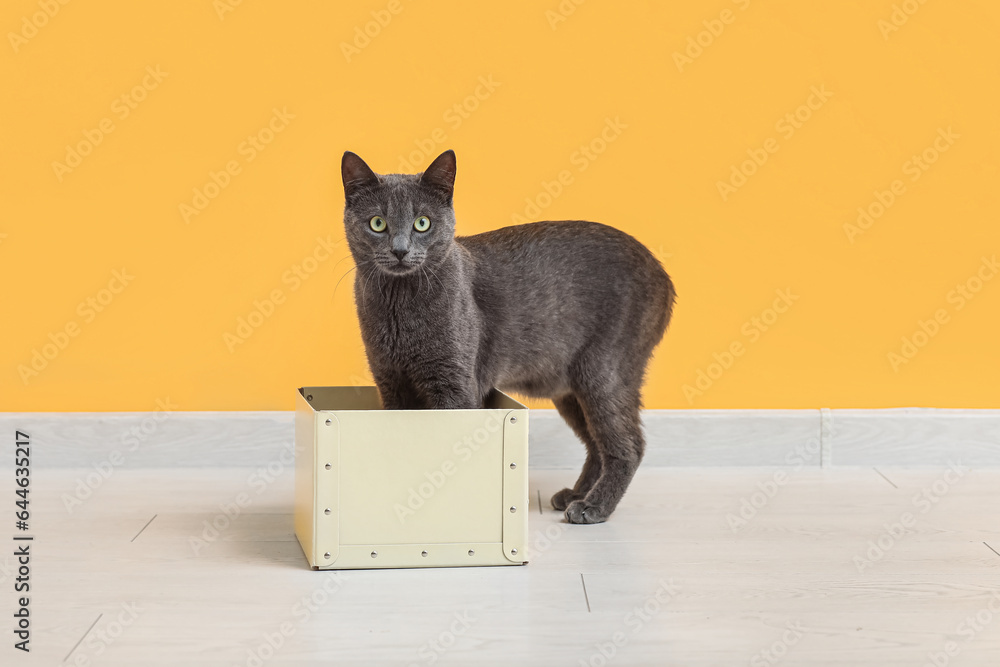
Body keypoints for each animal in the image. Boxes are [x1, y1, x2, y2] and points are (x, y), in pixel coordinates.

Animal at [340, 149, 676, 524]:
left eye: (422, 223)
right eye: (377, 223)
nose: (400, 250)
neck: (399, 309)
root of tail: (662, 272)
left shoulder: (455, 385)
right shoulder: (391, 383)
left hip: (604, 369)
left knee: (629, 444)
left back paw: (594, 507)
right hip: (570, 386)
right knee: (596, 443)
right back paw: (575, 494)